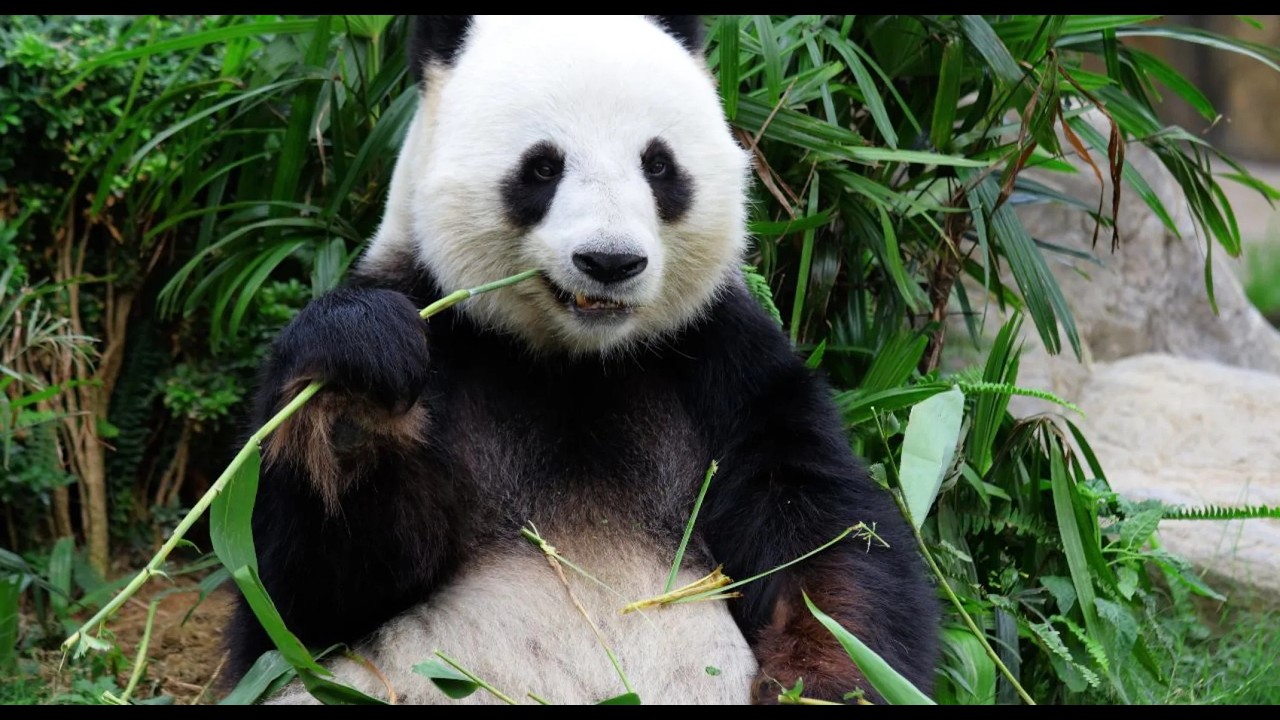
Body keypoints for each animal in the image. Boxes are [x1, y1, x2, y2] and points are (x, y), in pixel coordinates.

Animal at [225, 14, 939, 705]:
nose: (610, 261)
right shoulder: (441, 323)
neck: (577, 361)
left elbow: (825, 536)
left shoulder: (723, 361)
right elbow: (297, 602)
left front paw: (822, 683)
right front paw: (357, 390)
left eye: (658, 165)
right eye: (543, 167)